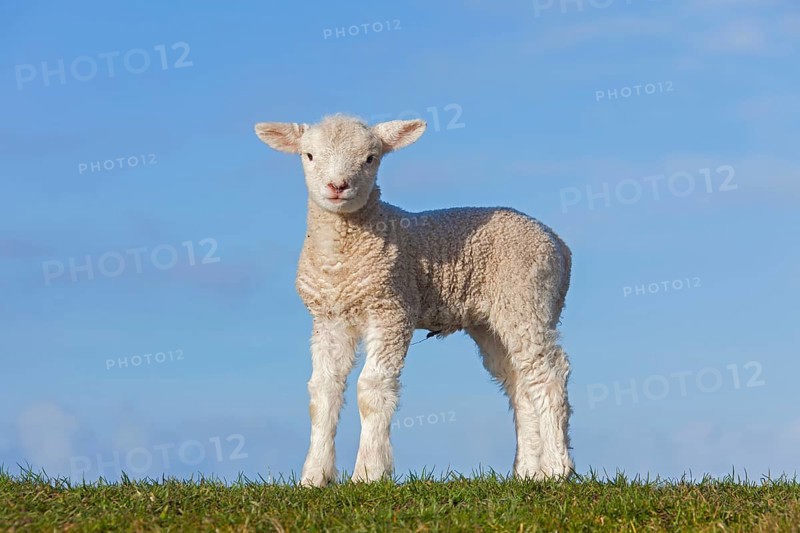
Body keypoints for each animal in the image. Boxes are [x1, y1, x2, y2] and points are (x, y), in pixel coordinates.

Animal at [254, 115, 573, 487]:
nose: (338, 186)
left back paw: (557, 467)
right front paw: (314, 476)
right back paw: (529, 472)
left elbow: (371, 388)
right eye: (308, 155)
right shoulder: (329, 319)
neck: (342, 255)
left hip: (526, 297)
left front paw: (368, 472)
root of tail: (559, 244)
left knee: (547, 373)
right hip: (492, 319)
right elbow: (322, 393)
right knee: (520, 382)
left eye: (370, 158)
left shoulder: (391, 308)